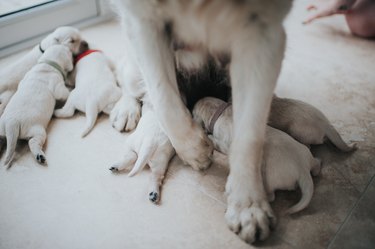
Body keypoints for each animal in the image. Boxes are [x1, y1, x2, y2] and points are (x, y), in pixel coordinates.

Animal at [111, 0, 294, 243]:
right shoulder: (143, 22)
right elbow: (164, 99)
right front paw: (195, 152)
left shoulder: (264, 33)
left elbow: (250, 135)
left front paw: (248, 204)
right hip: (133, 67)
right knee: (126, 78)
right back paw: (126, 109)